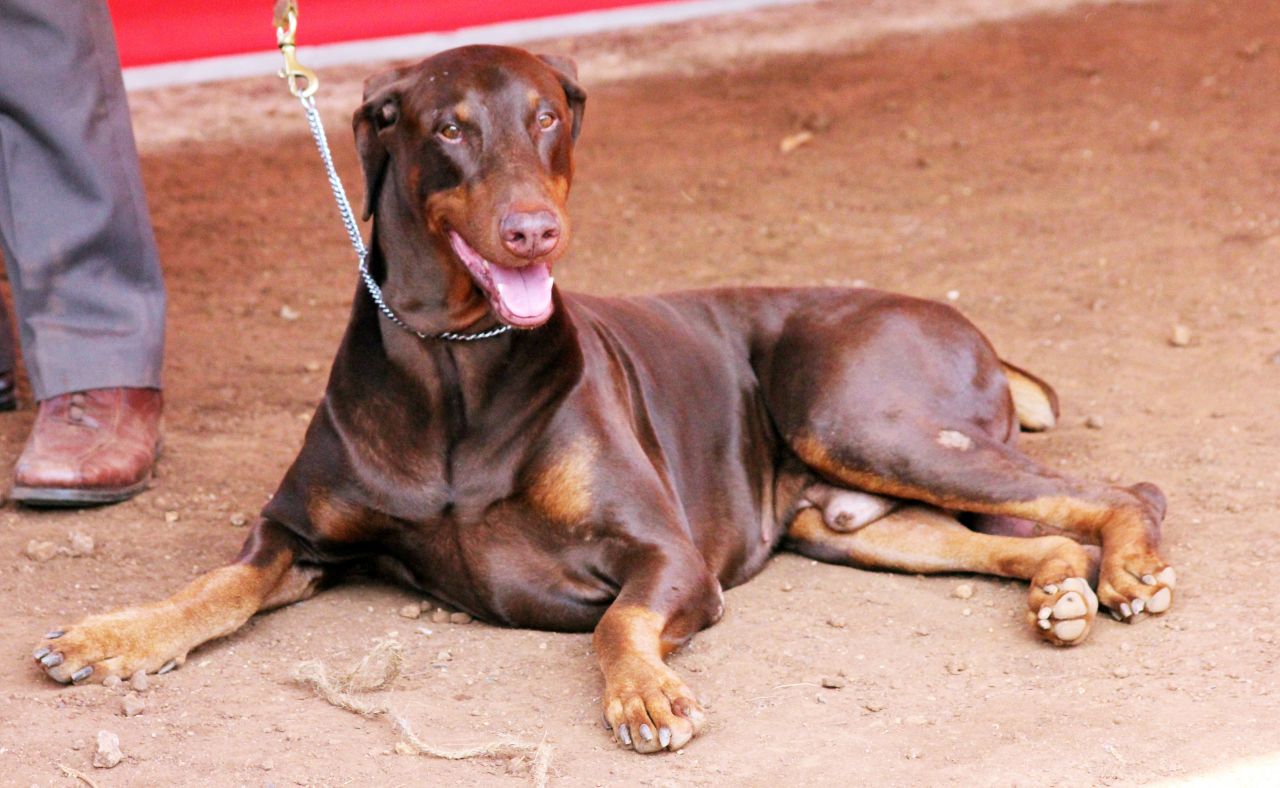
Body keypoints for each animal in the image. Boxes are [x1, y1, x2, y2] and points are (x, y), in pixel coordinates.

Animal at [32, 46, 1172, 752]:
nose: (534, 228)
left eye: (546, 117)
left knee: (1124, 488)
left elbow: (617, 622)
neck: (456, 359)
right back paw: (1062, 589)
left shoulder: (666, 553)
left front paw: (647, 693)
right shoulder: (298, 534)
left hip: (860, 416)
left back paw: (1130, 571)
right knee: (1027, 534)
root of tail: (960, 321)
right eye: (449, 128)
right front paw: (112, 636)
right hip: (847, 520)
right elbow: (212, 587)